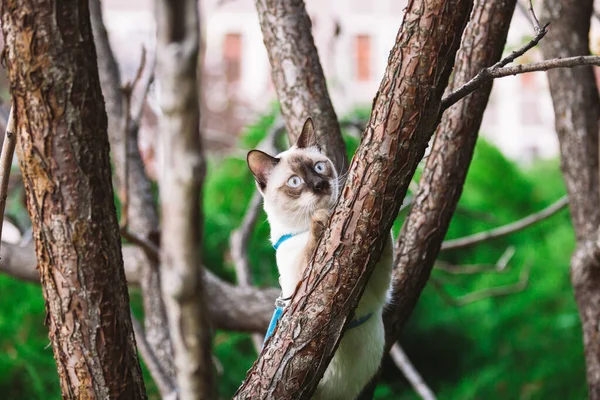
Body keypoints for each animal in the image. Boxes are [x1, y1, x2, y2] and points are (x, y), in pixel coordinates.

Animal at [246, 117, 392, 398]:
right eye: (294, 182)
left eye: (319, 167)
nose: (319, 185)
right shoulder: (297, 287)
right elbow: (310, 248)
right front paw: (320, 220)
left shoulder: (379, 287)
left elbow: (384, 240)